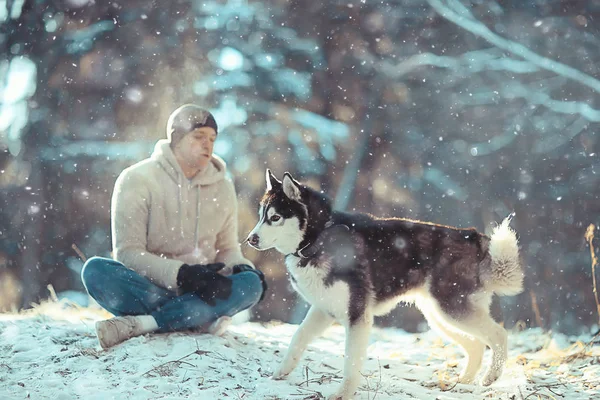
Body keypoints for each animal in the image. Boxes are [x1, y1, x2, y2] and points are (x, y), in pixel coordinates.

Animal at [246, 170, 524, 400]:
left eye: (275, 217)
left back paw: (490, 377)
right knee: (476, 344)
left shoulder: (357, 315)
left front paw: (343, 394)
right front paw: (281, 372)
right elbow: (298, 337)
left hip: (452, 309)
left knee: (498, 334)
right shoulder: (324, 310)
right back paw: (463, 382)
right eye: (261, 217)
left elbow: (350, 361)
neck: (319, 238)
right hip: (439, 314)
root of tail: (475, 237)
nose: (250, 239)